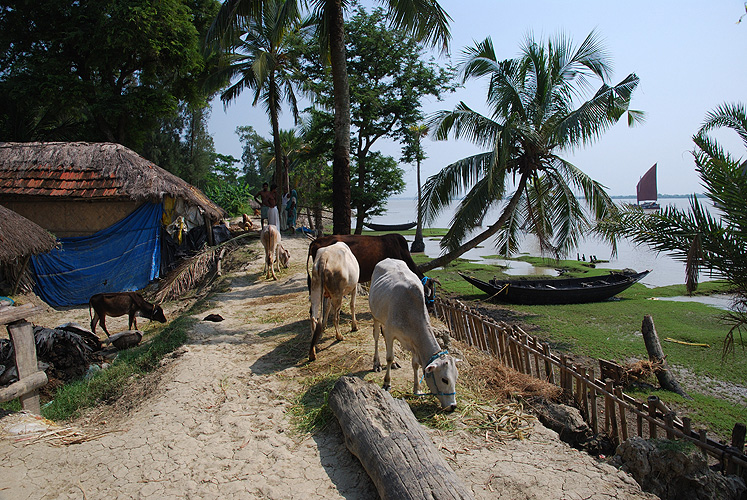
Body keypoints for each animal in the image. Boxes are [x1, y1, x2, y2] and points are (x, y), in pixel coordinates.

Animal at [370, 258, 458, 410]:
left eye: (456, 378)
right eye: (444, 380)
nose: (453, 406)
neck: (410, 312)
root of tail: (387, 259)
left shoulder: (414, 342)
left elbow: (415, 364)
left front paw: (417, 388)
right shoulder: (390, 332)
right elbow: (389, 357)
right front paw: (387, 382)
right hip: (375, 316)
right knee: (376, 337)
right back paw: (377, 363)